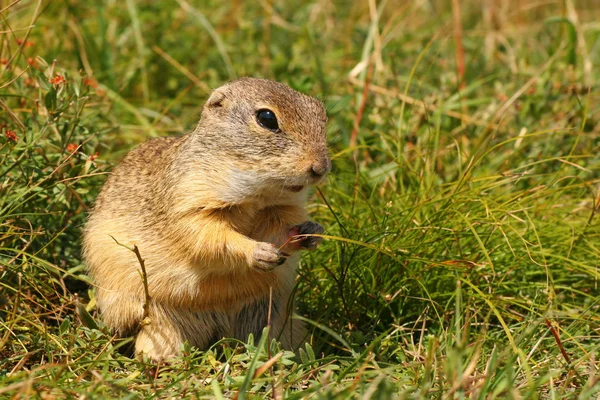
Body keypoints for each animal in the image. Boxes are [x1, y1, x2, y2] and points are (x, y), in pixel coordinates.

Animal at [82, 76, 330, 360]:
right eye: (267, 118)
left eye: (320, 112)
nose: (321, 168)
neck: (256, 195)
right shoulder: (192, 202)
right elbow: (211, 237)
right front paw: (259, 252)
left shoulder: (281, 208)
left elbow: (280, 231)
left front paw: (312, 232)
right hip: (162, 324)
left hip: (279, 321)